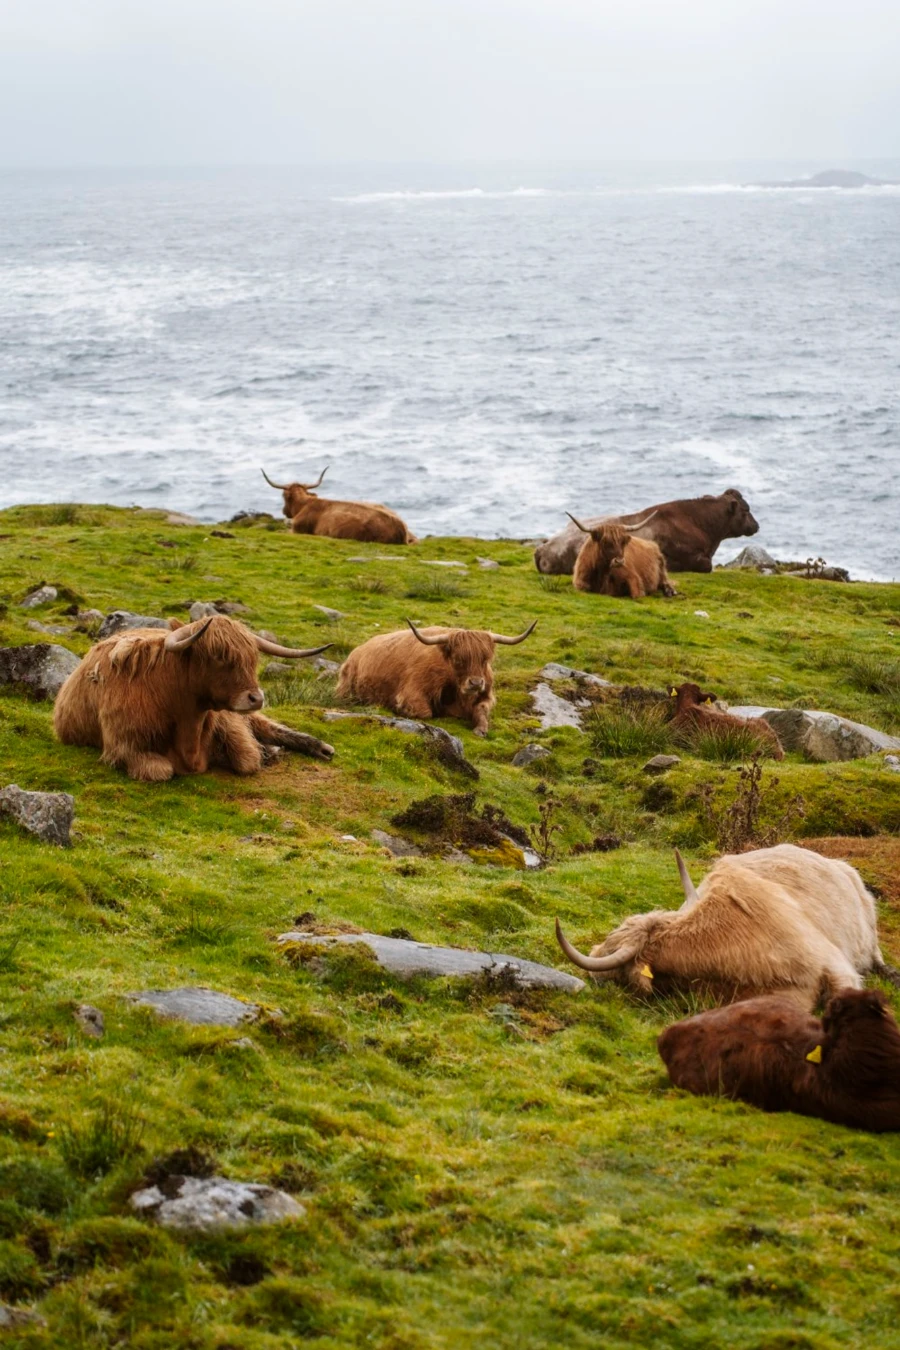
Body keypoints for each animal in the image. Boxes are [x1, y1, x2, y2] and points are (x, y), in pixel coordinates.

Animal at [53, 615, 335, 782]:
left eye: (252, 657)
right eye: (218, 656)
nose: (256, 698)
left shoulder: (228, 723)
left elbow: (247, 759)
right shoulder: (121, 747)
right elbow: (162, 770)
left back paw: (319, 747)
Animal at [336, 618, 537, 736]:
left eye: (486, 659)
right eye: (458, 659)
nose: (476, 683)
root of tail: (356, 652)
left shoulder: (486, 695)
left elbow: (481, 712)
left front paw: (480, 729)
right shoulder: (412, 692)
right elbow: (425, 712)